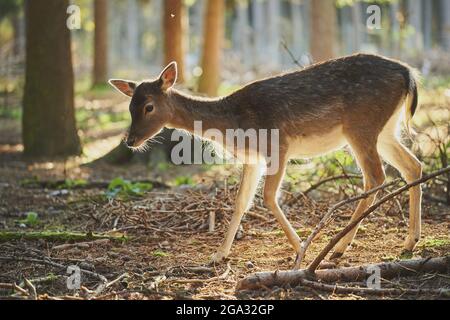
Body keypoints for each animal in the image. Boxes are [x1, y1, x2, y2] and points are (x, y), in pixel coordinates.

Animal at [109, 53, 422, 264]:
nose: (130, 140)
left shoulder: (277, 145)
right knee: (412, 165)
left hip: (360, 126)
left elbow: (269, 197)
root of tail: (408, 73)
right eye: (130, 106)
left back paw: (339, 247)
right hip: (386, 129)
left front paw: (301, 249)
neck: (232, 126)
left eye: (149, 107)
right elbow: (240, 202)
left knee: (376, 176)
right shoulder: (253, 158)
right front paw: (219, 254)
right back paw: (409, 242)